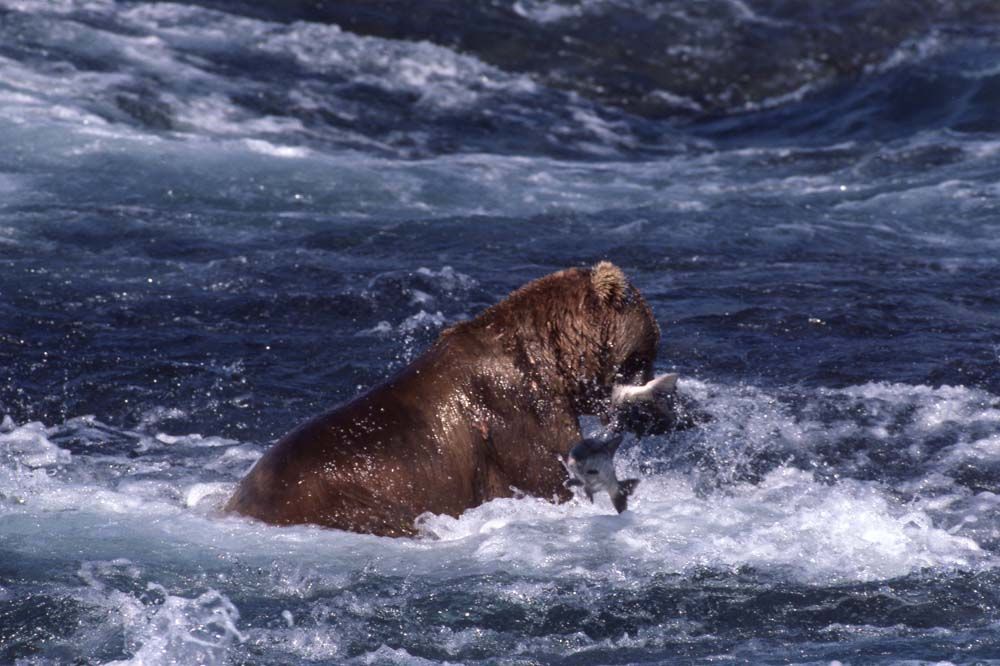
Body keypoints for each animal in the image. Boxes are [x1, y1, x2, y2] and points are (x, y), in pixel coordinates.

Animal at [225, 262, 666, 536]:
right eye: (644, 356)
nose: (653, 416)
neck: (553, 361)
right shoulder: (518, 415)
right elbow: (548, 475)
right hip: (351, 503)